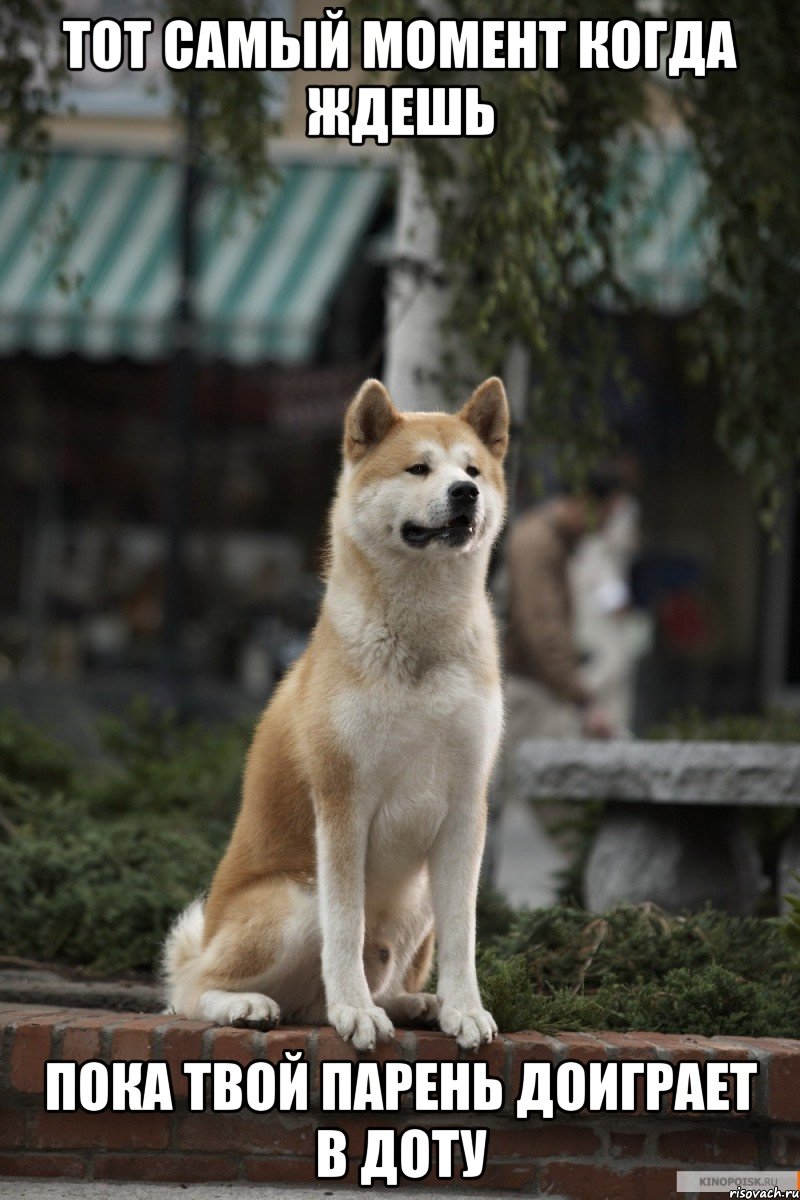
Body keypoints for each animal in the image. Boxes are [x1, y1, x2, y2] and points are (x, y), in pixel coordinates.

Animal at [164, 374, 506, 1051]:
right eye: (419, 468)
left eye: (473, 469)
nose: (466, 493)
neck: (420, 644)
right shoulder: (344, 801)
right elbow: (345, 928)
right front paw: (355, 1011)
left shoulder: (465, 806)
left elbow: (465, 934)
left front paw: (464, 1009)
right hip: (296, 900)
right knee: (189, 990)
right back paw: (252, 1004)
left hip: (416, 899)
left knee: (360, 985)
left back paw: (413, 1003)